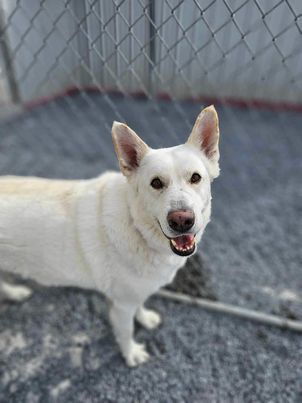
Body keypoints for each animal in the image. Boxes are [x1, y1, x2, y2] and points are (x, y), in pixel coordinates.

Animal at [1, 105, 221, 368]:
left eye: (195, 178)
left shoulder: (134, 294)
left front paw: (145, 318)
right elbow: (126, 332)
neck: (136, 226)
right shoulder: (121, 306)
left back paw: (15, 293)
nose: (181, 221)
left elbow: (140, 306)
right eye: (156, 183)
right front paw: (131, 355)